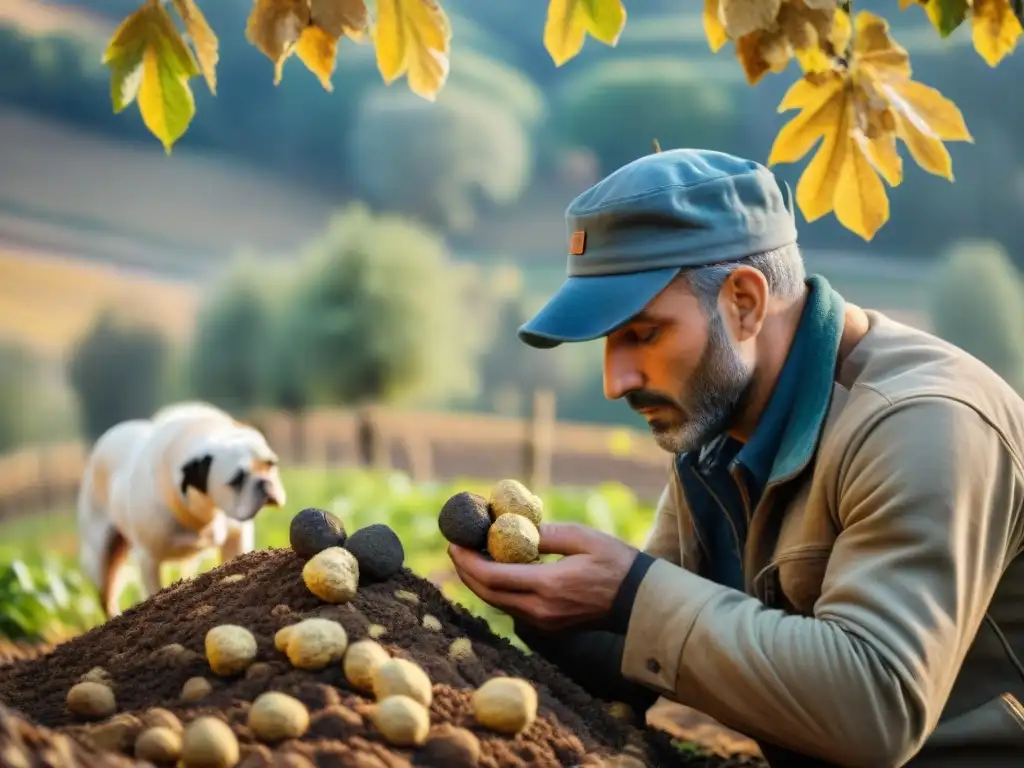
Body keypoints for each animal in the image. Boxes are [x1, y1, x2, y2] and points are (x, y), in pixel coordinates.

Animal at [76, 403, 286, 618]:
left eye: (271, 464)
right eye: (237, 480)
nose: (265, 483)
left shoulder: (236, 538)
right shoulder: (149, 559)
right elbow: (154, 591)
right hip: (101, 556)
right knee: (107, 592)